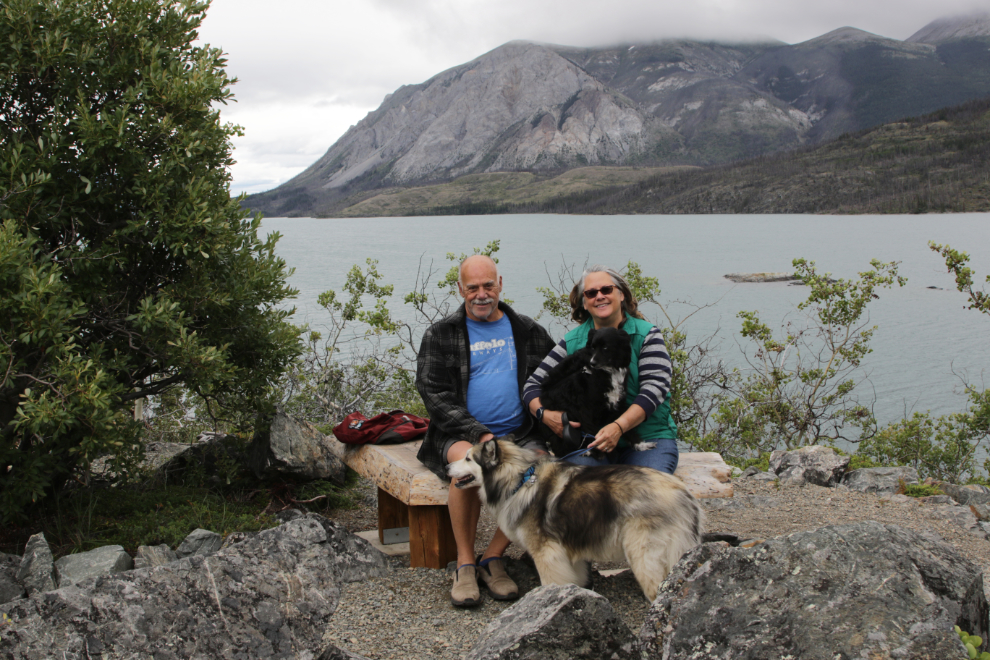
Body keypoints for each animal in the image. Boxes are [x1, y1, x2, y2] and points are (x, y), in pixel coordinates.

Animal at [450, 440, 704, 600]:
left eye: (468, 458)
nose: (447, 465)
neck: (520, 479)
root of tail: (684, 494)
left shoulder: (546, 553)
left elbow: (550, 583)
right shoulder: (567, 552)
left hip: (643, 556)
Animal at [540, 326, 656, 458]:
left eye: (605, 348)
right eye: (593, 347)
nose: (592, 363)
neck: (608, 371)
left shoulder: (617, 403)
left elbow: (625, 425)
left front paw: (640, 445)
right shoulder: (585, 408)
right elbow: (591, 431)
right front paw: (598, 452)